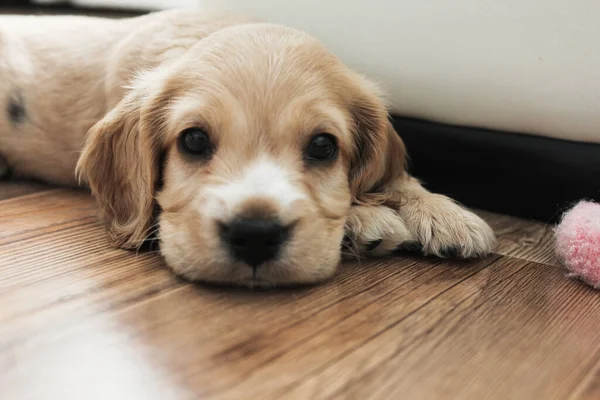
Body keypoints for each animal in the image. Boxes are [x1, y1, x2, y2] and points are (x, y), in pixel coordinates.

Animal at [0, 10, 494, 286]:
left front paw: (443, 214)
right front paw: (367, 218)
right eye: (194, 140)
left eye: (322, 146)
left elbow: (397, 176)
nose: (255, 235)